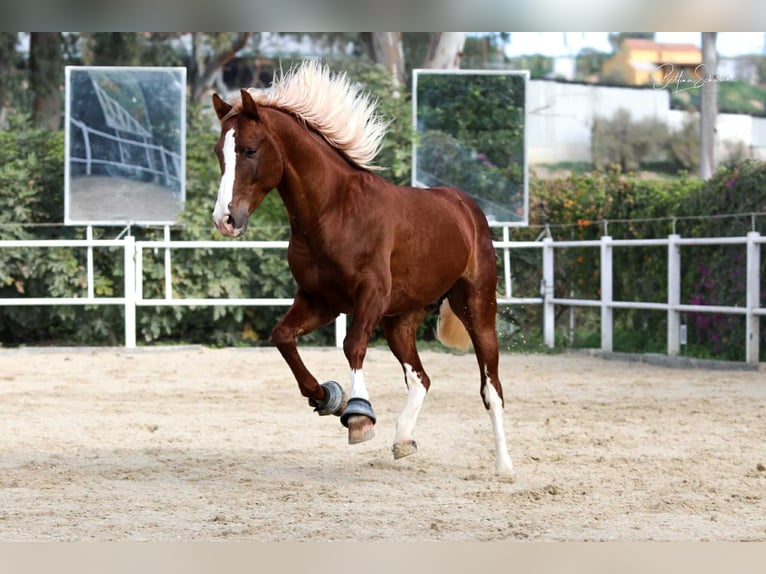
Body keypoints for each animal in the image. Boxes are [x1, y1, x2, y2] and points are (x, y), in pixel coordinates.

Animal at [212, 60, 516, 480]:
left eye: (250, 150)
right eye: (219, 153)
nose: (225, 219)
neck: (332, 211)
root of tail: (466, 207)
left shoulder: (370, 295)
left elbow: (352, 345)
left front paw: (358, 417)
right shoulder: (320, 300)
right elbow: (283, 337)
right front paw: (328, 398)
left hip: (477, 309)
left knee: (491, 387)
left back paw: (504, 465)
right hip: (400, 321)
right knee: (421, 378)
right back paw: (403, 440)